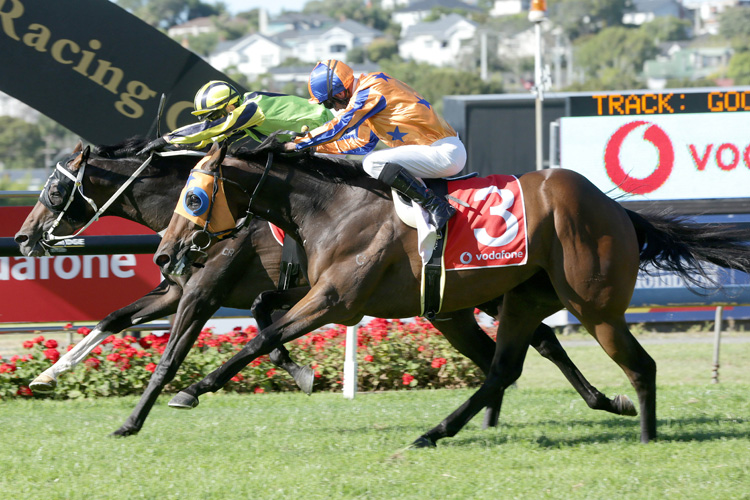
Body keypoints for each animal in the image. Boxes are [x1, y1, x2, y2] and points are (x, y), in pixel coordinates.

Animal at [13, 139, 636, 436]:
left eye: (53, 189)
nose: (22, 238)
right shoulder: (189, 288)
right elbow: (116, 318)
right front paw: (47, 374)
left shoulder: (205, 293)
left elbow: (178, 356)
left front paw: (143, 414)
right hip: (459, 302)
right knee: (519, 348)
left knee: (540, 343)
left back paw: (592, 400)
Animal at [156, 139, 750, 448]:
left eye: (194, 195)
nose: (164, 254)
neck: (330, 205)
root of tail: (618, 211)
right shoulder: (322, 292)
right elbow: (263, 318)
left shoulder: (337, 300)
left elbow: (259, 339)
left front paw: (193, 389)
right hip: (521, 299)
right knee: (504, 368)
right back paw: (436, 432)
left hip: (595, 305)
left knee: (639, 365)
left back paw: (647, 435)